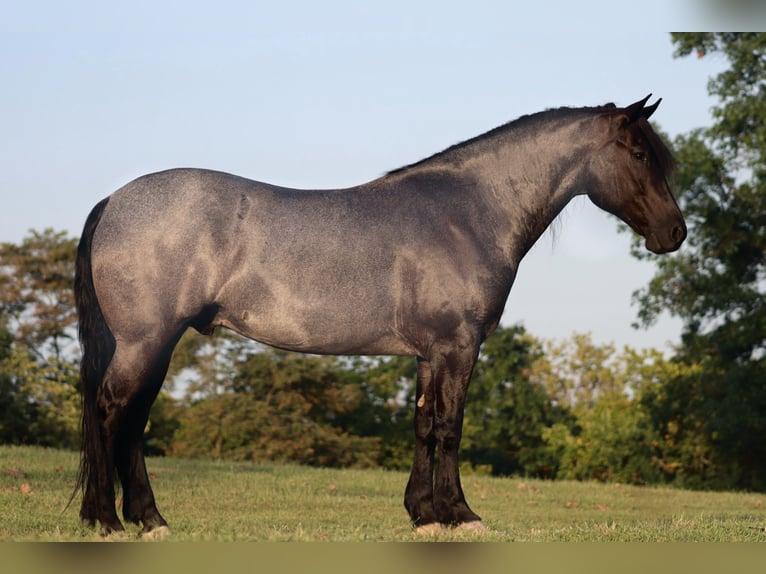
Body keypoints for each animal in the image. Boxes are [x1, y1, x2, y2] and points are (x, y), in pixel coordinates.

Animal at [73, 94, 688, 540]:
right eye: (639, 154)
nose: (676, 232)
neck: (468, 213)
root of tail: (113, 201)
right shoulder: (459, 347)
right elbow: (450, 427)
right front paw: (461, 514)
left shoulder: (428, 353)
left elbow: (422, 425)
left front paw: (424, 514)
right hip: (147, 341)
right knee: (110, 412)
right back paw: (108, 519)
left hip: (156, 346)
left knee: (131, 421)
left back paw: (147, 520)